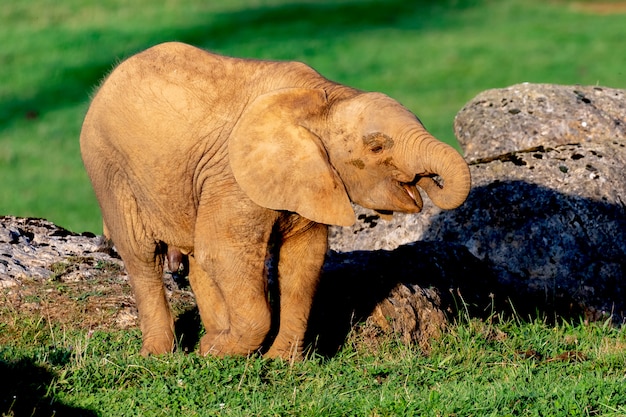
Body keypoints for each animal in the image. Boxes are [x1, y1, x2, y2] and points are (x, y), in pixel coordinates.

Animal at [79, 43, 468, 360]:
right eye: (376, 147)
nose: (426, 180)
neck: (325, 97)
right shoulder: (233, 176)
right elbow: (225, 252)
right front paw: (221, 355)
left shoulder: (310, 178)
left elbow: (303, 260)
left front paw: (278, 363)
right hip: (108, 168)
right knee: (143, 254)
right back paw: (161, 354)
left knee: (195, 255)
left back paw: (212, 338)